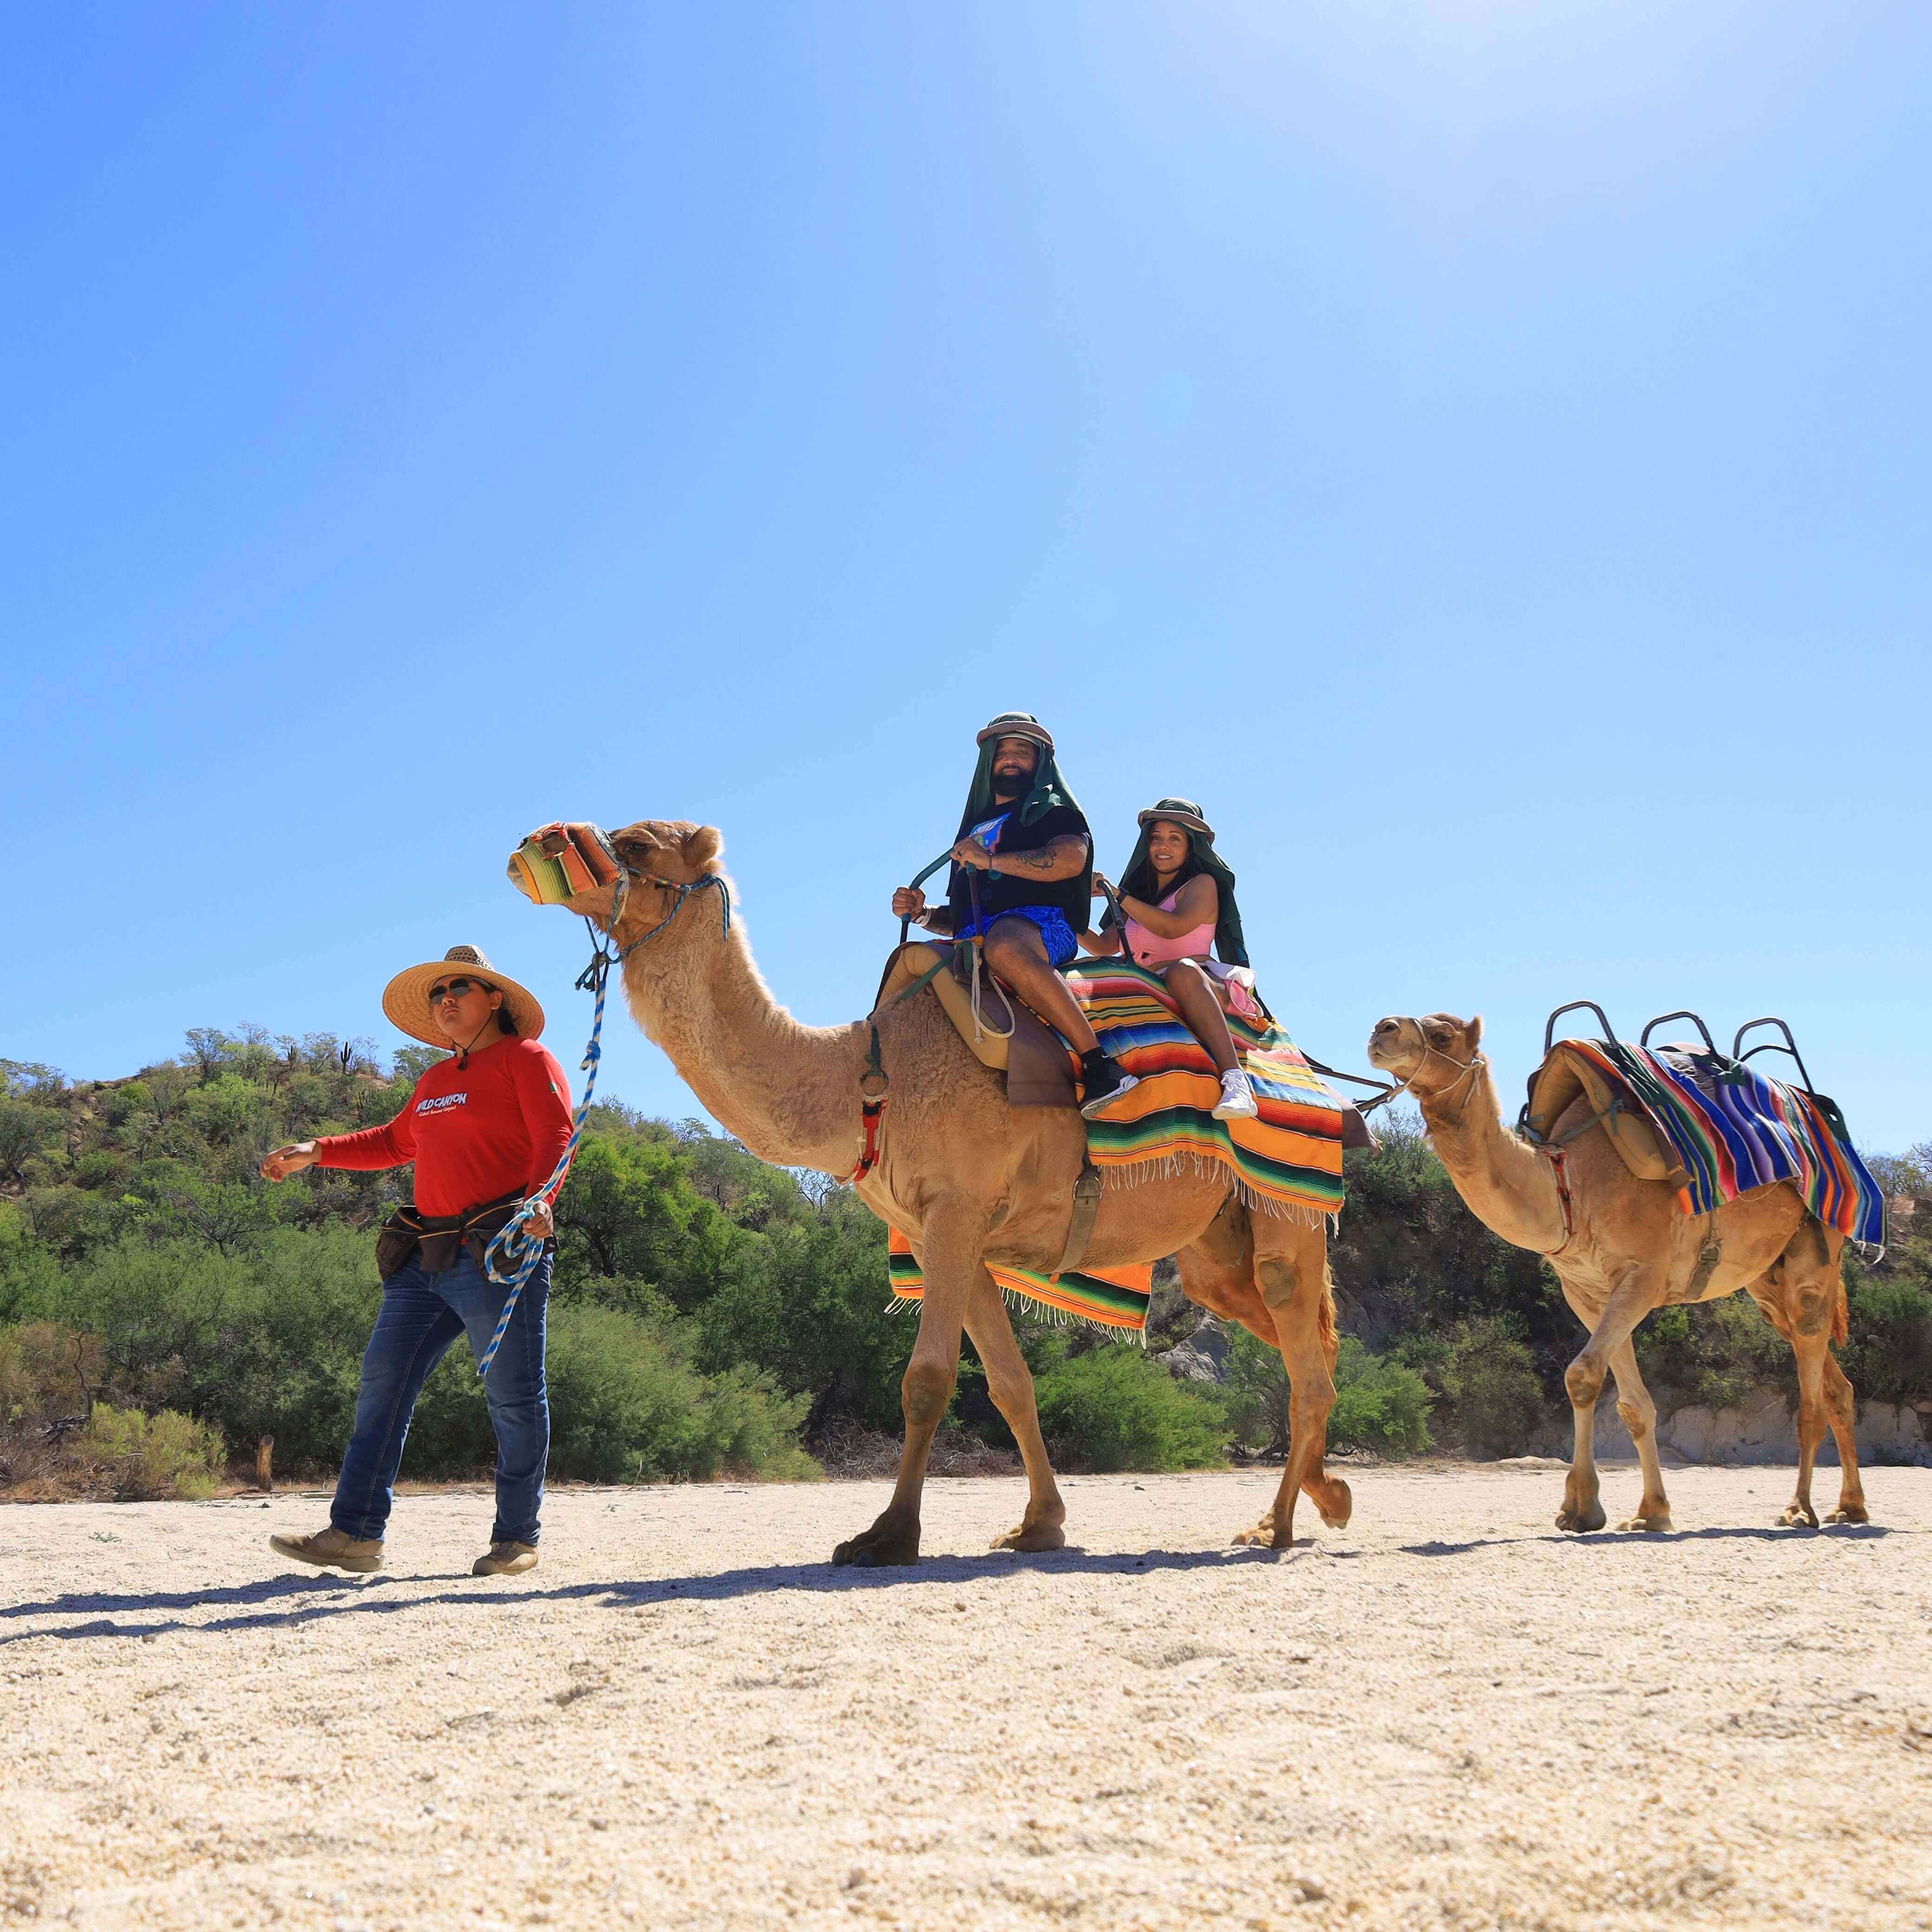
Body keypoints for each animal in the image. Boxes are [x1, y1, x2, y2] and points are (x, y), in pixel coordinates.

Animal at [522, 823, 1352, 1561]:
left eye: (636, 844)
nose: (538, 842)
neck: (871, 1074)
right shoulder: (946, 1234)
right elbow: (1011, 1385)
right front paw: (1039, 1526)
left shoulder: (955, 1209)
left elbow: (926, 1380)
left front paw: (885, 1537)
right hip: (1219, 1245)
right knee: (1304, 1343)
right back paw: (1324, 1496)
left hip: (1289, 1209)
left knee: (1304, 1360)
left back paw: (1278, 1527)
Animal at [1368, 1020, 1862, 1530]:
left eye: (1442, 1034)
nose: (1382, 1029)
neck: (1569, 1185)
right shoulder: (1587, 1292)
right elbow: (1631, 1403)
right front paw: (1645, 1512)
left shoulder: (1643, 1274)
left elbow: (1581, 1375)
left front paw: (1581, 1506)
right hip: (1765, 1279)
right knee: (1829, 1376)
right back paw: (1850, 1504)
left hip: (1816, 1250)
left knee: (1810, 1381)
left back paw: (1799, 1508)